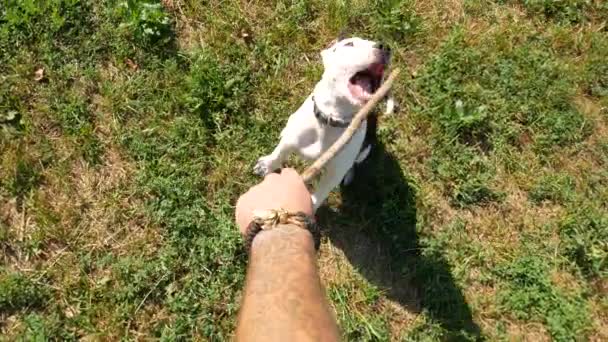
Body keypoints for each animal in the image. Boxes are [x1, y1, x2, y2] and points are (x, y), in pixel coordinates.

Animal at [253, 36, 392, 210]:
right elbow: (280, 152)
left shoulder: (334, 173)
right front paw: (266, 165)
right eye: (349, 44)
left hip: (365, 149)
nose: (385, 47)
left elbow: (319, 195)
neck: (330, 121)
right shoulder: (291, 139)